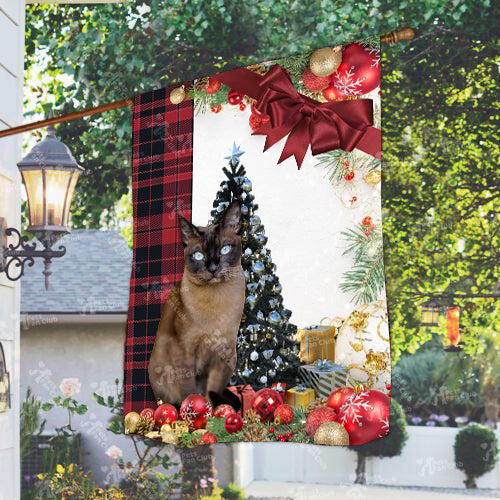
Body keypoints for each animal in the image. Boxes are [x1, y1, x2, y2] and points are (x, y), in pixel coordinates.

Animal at [147, 201, 245, 408]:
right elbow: (190, 393)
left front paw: (215, 413)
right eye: (199, 255)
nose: (213, 269)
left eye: (224, 249)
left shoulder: (223, 355)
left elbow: (211, 391)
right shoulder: (184, 353)